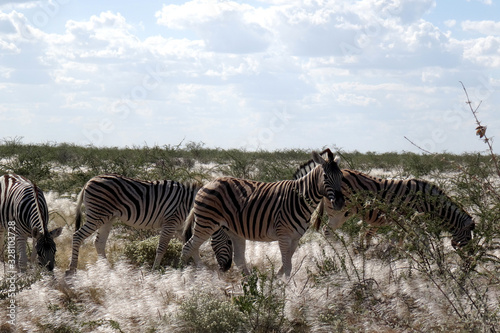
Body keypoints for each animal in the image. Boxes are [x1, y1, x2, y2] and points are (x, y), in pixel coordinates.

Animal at [66, 174, 199, 272]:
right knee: (77, 235)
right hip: (97, 215)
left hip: (107, 218)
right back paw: (72, 268)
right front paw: (154, 270)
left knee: (99, 242)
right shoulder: (170, 223)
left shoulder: (179, 227)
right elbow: (162, 248)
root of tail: (89, 181)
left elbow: (192, 246)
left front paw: (201, 271)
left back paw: (107, 270)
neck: (188, 202)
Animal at [182, 149, 346, 276]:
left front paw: (279, 281)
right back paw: (185, 275)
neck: (298, 199)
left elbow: (287, 264)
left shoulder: (296, 238)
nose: (339, 202)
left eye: (342, 177)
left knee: (237, 259)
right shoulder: (283, 235)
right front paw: (287, 290)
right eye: (325, 176)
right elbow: (287, 265)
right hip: (206, 223)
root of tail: (207, 184)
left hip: (232, 230)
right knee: (188, 247)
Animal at [308, 170, 476, 248]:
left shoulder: (404, 221)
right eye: (469, 237)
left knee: (327, 231)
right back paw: (337, 251)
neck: (430, 203)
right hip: (340, 212)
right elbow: (422, 240)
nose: (470, 257)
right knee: (327, 231)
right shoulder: (413, 219)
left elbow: (401, 239)